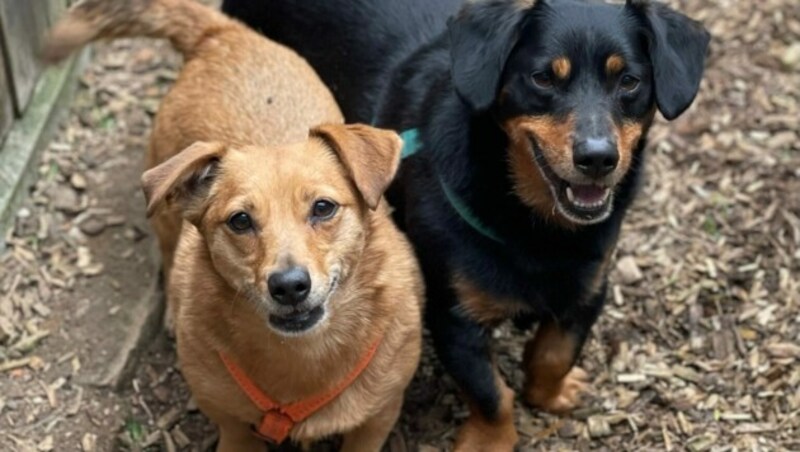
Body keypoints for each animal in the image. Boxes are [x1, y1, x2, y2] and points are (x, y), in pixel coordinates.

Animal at [45, 1, 424, 450]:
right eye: (240, 220)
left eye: (323, 208)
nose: (289, 286)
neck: (301, 360)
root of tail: (221, 35)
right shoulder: (231, 424)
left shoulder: (377, 418)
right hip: (166, 215)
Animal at [223, 0, 708, 448]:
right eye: (542, 78)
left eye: (629, 81)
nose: (598, 158)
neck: (537, 232)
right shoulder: (455, 318)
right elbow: (492, 395)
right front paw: (490, 441)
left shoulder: (588, 289)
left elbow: (554, 354)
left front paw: (550, 393)